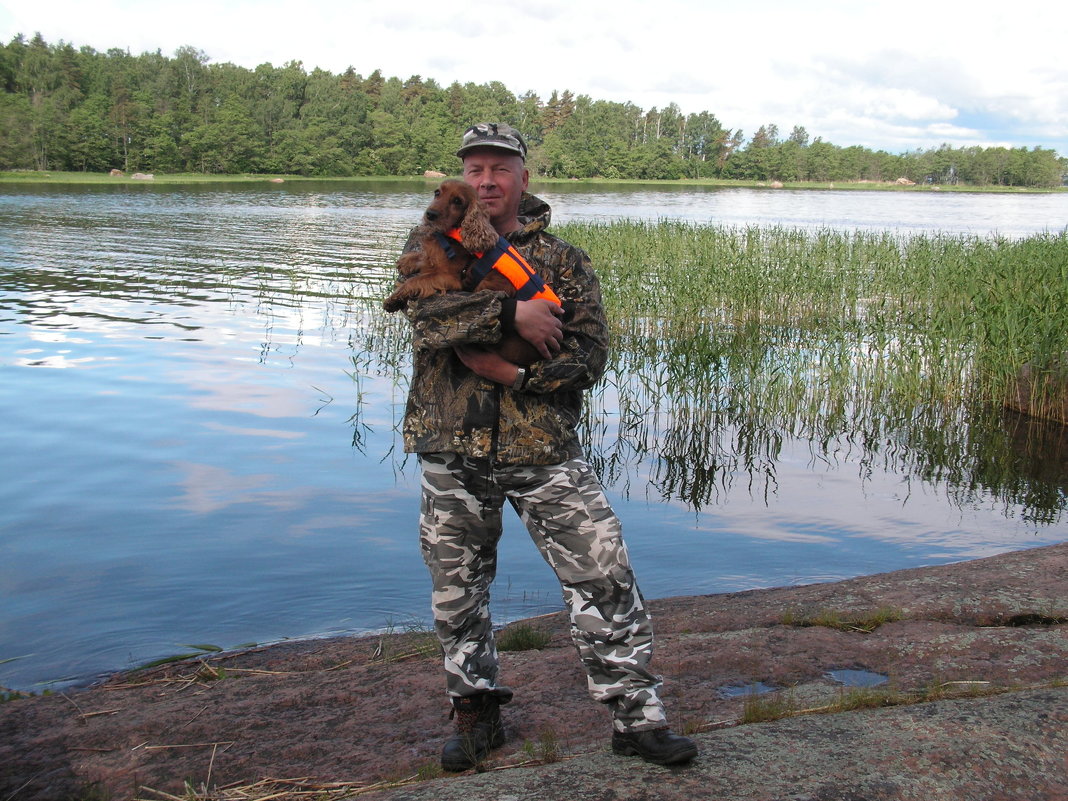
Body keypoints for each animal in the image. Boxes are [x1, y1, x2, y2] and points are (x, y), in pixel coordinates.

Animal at [384, 180, 551, 365]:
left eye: (457, 201)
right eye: (437, 193)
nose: (430, 214)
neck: (449, 236)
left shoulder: (448, 277)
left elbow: (414, 281)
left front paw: (392, 299)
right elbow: (423, 259)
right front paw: (407, 261)